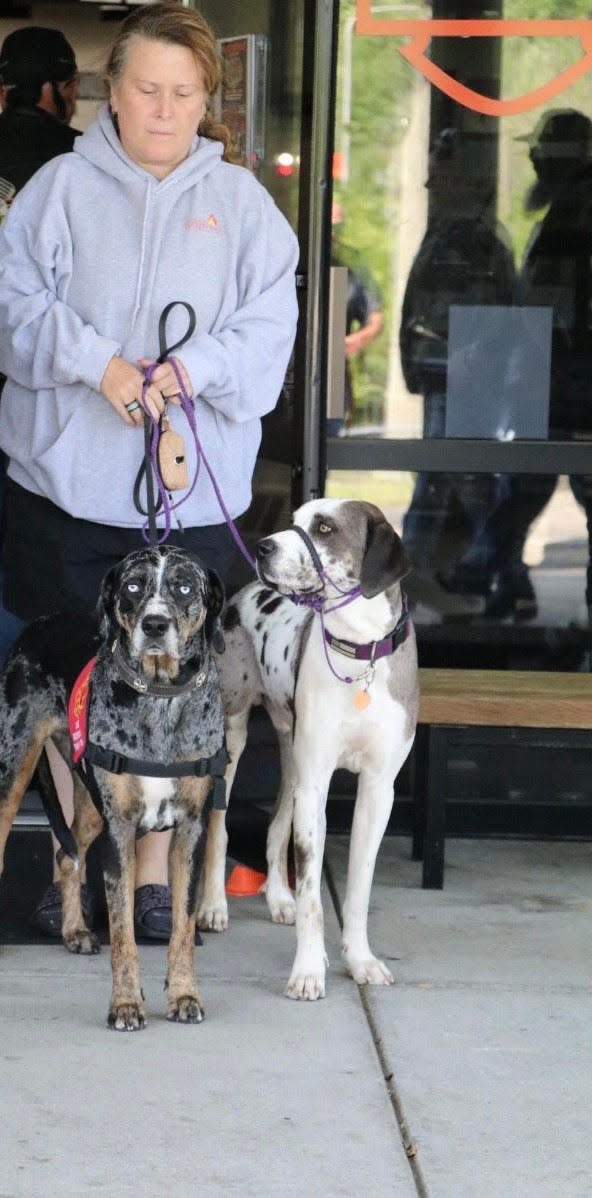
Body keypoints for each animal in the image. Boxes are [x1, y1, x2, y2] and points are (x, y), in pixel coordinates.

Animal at [0, 546, 225, 1030]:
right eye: (133, 585)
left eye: (184, 587)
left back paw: (75, 930)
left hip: (87, 804)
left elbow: (182, 927)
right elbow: (123, 932)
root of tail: (40, 622)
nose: (155, 625)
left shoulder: (191, 831)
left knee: (68, 854)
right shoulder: (118, 833)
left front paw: (184, 994)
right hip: (14, 773)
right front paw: (125, 1003)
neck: (160, 695)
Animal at [201, 498, 419, 1001]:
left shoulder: (379, 789)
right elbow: (311, 891)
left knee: (277, 824)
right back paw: (214, 906)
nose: (262, 547)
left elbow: (358, 886)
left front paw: (360, 960)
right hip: (233, 736)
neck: (360, 652)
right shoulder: (317, 782)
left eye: (324, 529)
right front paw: (307, 970)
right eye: (294, 521)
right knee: (219, 829)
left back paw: (279, 898)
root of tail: (242, 595)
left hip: (291, 752)